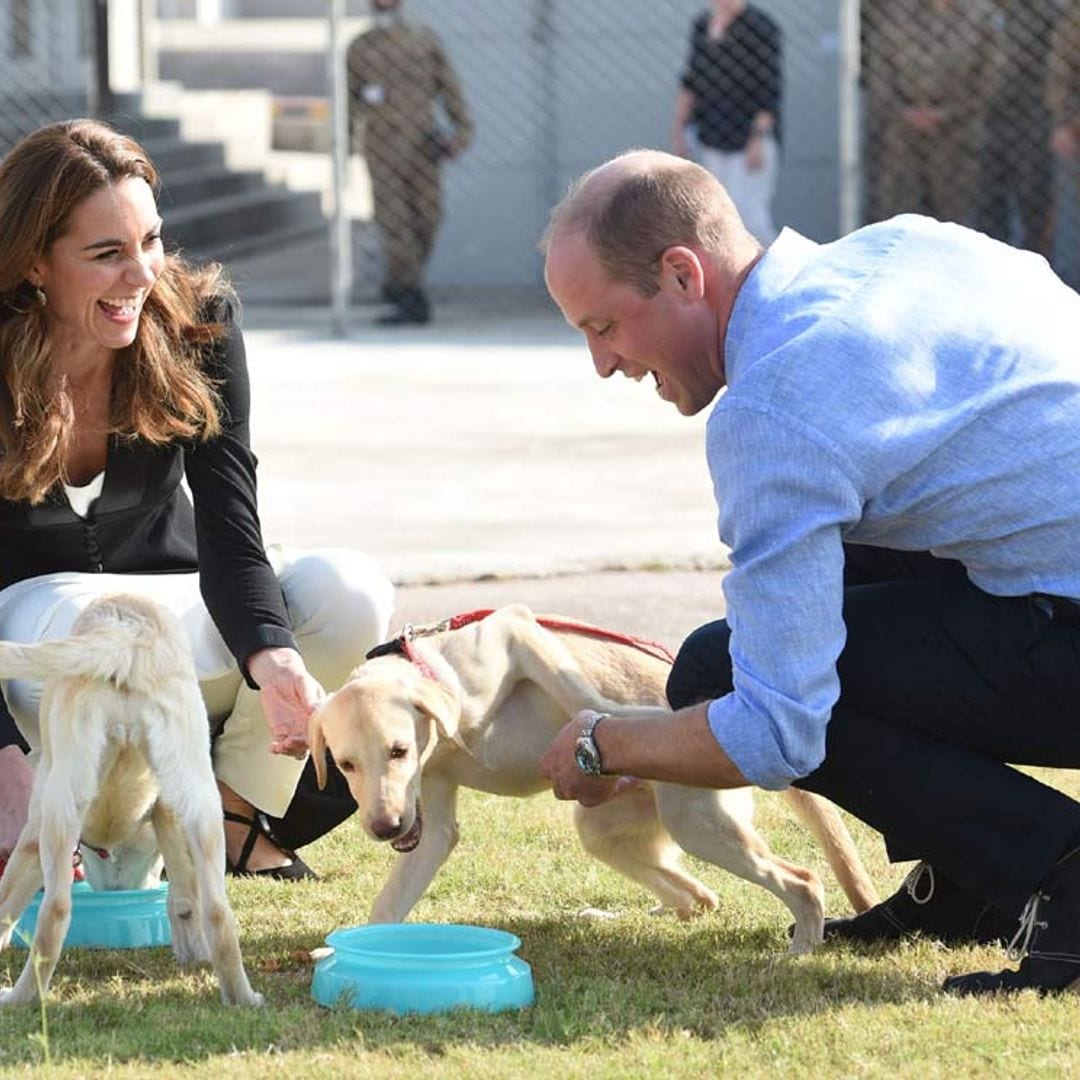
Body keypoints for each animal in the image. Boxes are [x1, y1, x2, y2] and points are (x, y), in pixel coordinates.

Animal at [0, 591, 262, 1002]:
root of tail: (127, 633)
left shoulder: (33, 830)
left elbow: (5, 901)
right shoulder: (167, 812)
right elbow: (185, 898)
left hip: (61, 804)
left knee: (54, 913)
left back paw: (18, 997)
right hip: (201, 800)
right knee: (218, 910)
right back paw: (242, 998)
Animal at [306, 609, 876, 954]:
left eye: (398, 751)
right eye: (345, 764)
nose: (385, 827)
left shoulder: (516, 629)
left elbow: (578, 690)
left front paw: (614, 717)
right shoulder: (433, 826)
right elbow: (389, 904)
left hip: (701, 826)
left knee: (802, 880)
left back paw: (803, 946)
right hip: (606, 832)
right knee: (699, 898)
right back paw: (616, 915)